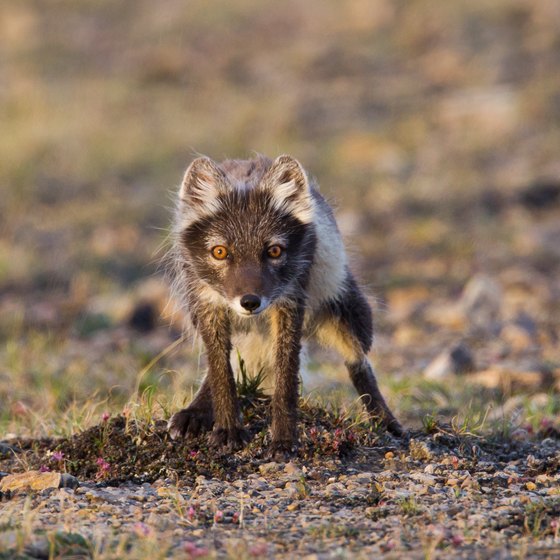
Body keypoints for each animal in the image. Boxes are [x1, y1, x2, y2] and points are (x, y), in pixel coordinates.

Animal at [166, 155, 402, 458]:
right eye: (219, 252)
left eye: (274, 251)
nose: (250, 302)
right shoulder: (206, 303)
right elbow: (220, 371)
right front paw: (228, 430)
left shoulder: (290, 301)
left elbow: (286, 377)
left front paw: (283, 439)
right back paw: (194, 412)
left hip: (348, 314)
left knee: (359, 364)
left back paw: (385, 421)